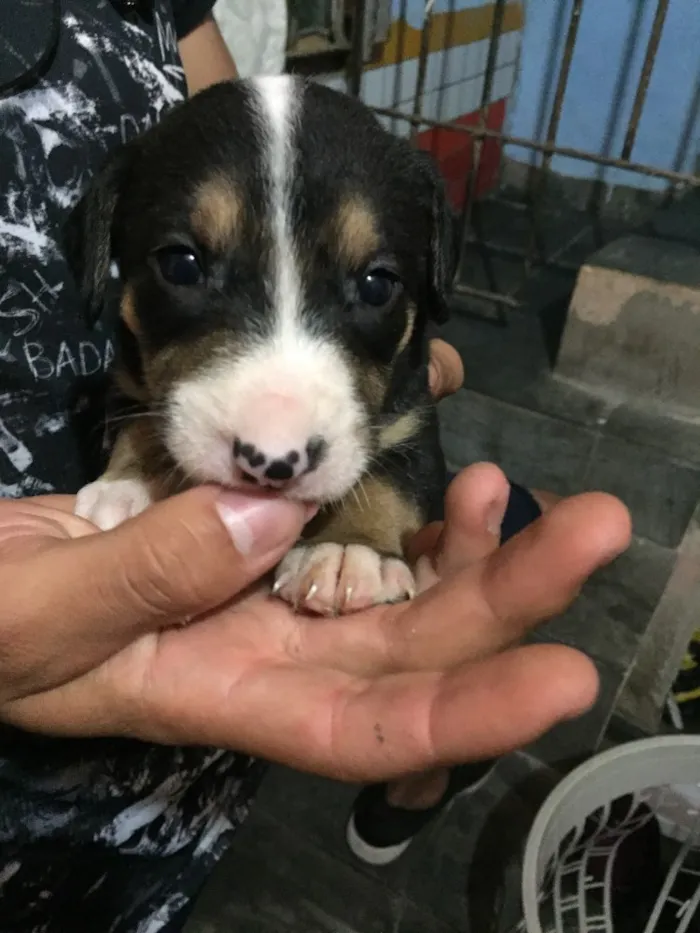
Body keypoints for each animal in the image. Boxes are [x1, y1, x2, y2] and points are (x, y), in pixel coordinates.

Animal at [67, 76, 454, 616]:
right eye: (180, 265)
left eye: (378, 285)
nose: (272, 462)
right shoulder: (126, 383)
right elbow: (143, 421)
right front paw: (126, 488)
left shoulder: (415, 412)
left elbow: (394, 475)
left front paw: (348, 550)